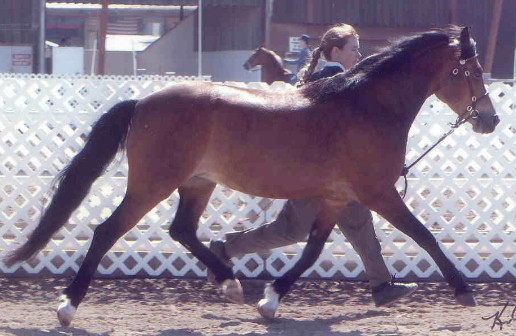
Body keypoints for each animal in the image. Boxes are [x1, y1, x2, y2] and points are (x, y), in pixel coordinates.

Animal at [4, 26, 500, 326]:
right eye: (474, 70)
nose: (490, 121)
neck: (366, 106)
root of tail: (143, 102)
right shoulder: (378, 193)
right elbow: (424, 235)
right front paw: (463, 291)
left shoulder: (338, 197)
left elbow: (313, 249)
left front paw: (271, 299)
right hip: (151, 185)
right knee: (107, 231)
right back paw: (68, 306)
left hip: (198, 184)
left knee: (182, 230)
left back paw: (230, 282)